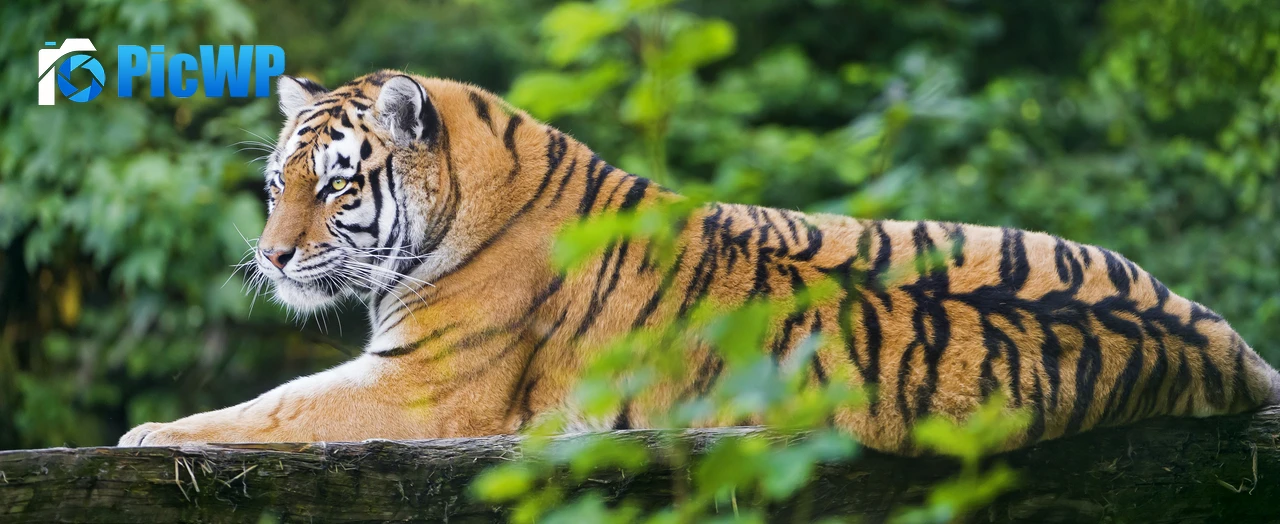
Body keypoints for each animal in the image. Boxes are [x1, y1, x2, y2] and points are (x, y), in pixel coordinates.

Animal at [118, 70, 1280, 455]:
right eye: (277, 181)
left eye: (334, 187)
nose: (270, 257)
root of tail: (1229, 352)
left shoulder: (422, 389)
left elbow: (274, 407)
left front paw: (147, 434)